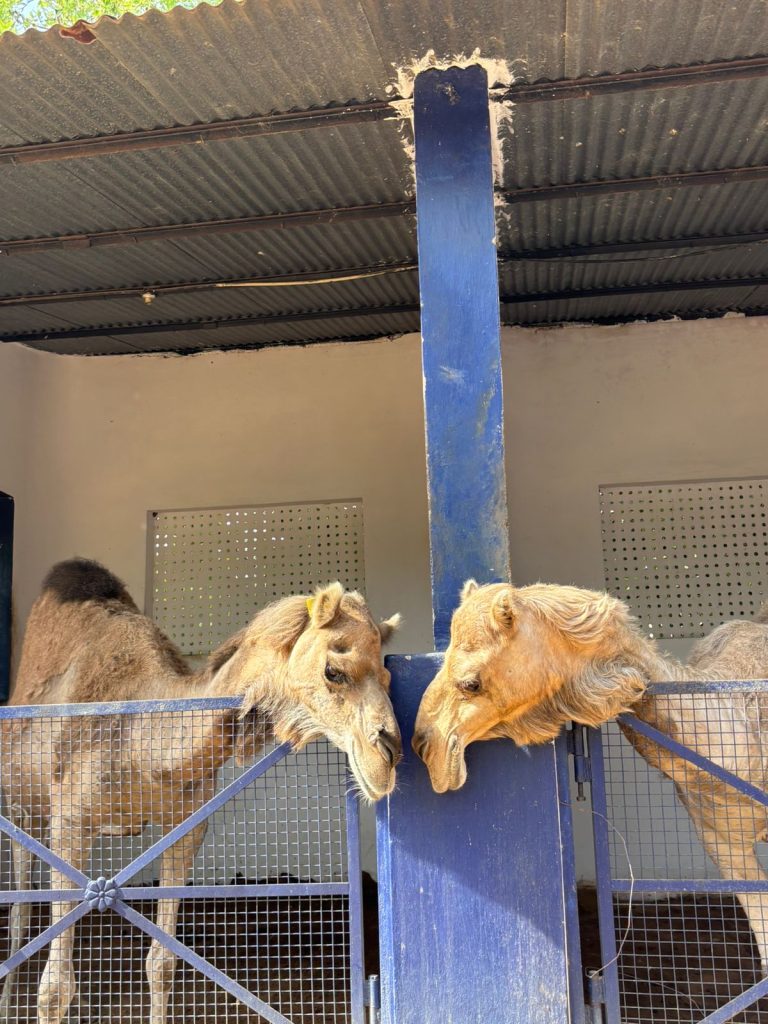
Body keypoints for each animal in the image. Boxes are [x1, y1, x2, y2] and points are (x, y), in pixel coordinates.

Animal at [1, 558, 402, 1024]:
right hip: (21, 811)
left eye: (388, 676)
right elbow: (53, 988)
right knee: (20, 914)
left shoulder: (186, 828)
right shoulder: (69, 822)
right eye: (333, 671)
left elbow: (161, 963)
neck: (142, 742)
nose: (389, 755)